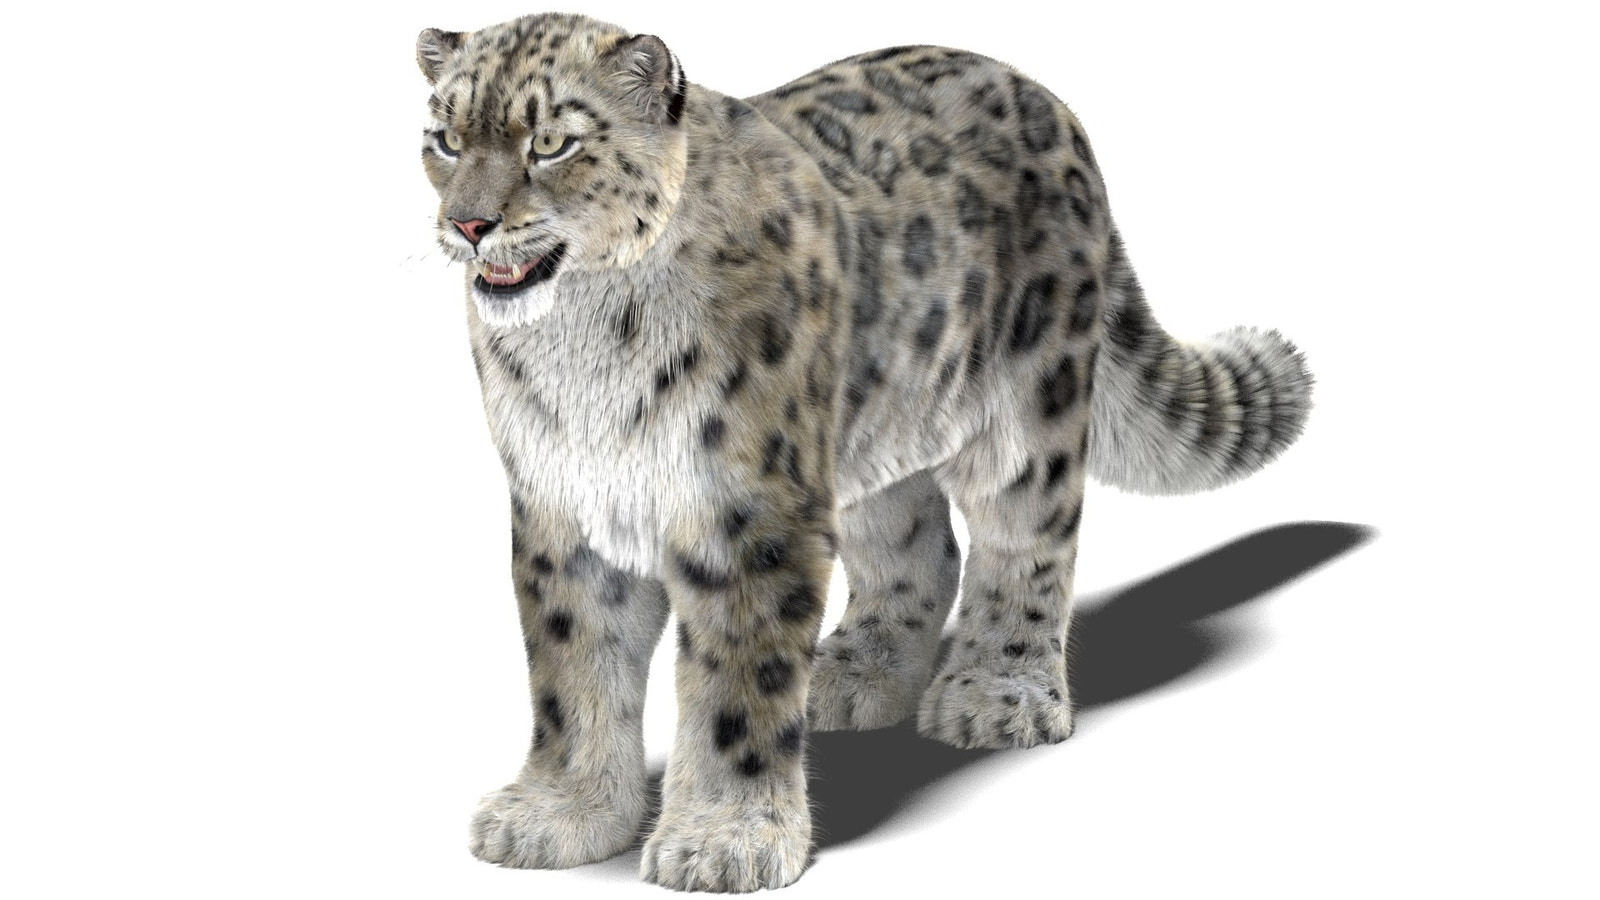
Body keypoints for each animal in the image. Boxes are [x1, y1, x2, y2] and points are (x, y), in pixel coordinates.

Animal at [414, 12, 1312, 893]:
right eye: (446, 138)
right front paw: (560, 815)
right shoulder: (564, 508)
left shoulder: (745, 512)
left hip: (1028, 411)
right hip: (874, 429)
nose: (469, 224)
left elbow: (738, 679)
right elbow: (571, 666)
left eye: (550, 143)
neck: (583, 344)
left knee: (1027, 543)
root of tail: (1043, 98)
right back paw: (855, 675)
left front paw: (725, 841)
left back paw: (997, 692)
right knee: (920, 545)